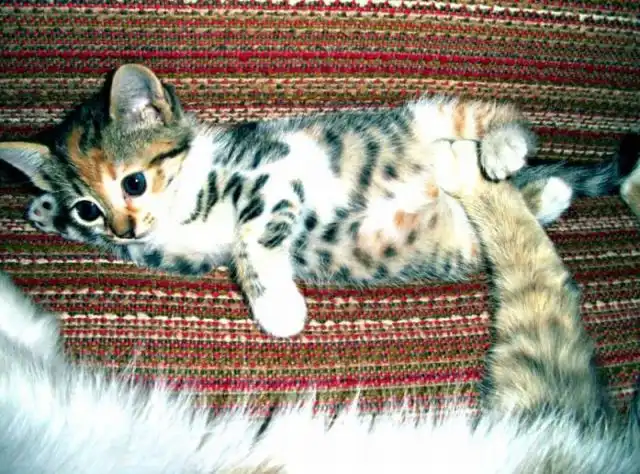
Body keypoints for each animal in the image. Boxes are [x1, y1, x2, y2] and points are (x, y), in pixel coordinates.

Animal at [1, 64, 638, 338]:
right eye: (88, 207)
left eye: (133, 182)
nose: (124, 229)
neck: (186, 204)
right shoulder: (183, 253)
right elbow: (196, 250)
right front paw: (43, 208)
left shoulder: (272, 169)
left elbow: (253, 236)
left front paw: (278, 310)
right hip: (457, 239)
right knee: (504, 212)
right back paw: (548, 191)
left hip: (432, 116)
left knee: (496, 117)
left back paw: (505, 149)